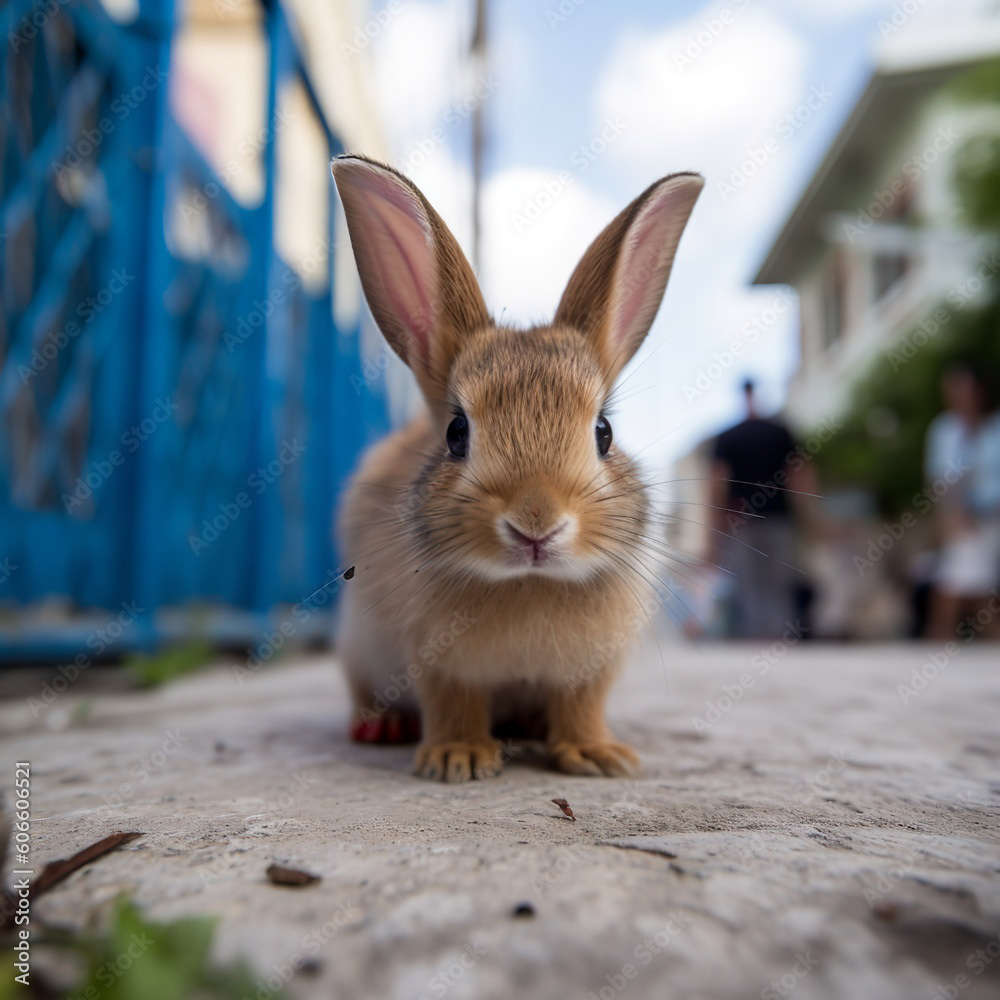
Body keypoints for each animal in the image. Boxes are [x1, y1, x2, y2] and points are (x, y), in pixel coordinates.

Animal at [331, 153, 702, 782]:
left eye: (604, 433)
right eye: (457, 434)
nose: (536, 524)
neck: (529, 582)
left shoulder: (590, 671)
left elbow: (581, 707)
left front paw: (597, 756)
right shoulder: (437, 662)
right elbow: (453, 705)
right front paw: (457, 759)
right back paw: (380, 728)